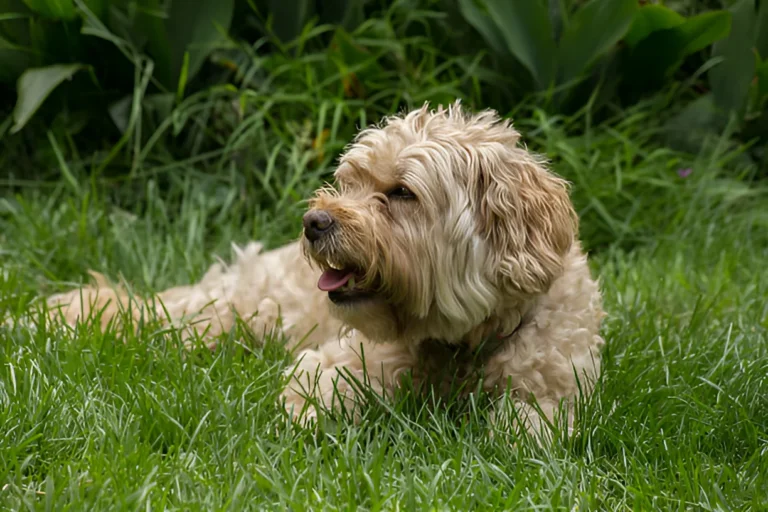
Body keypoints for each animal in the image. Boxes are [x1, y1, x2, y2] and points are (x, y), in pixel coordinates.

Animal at [43, 102, 608, 438]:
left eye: (401, 193)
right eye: (349, 181)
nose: (314, 222)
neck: (463, 340)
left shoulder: (554, 389)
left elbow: (526, 433)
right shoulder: (344, 357)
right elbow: (318, 388)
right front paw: (304, 421)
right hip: (232, 311)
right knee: (157, 317)